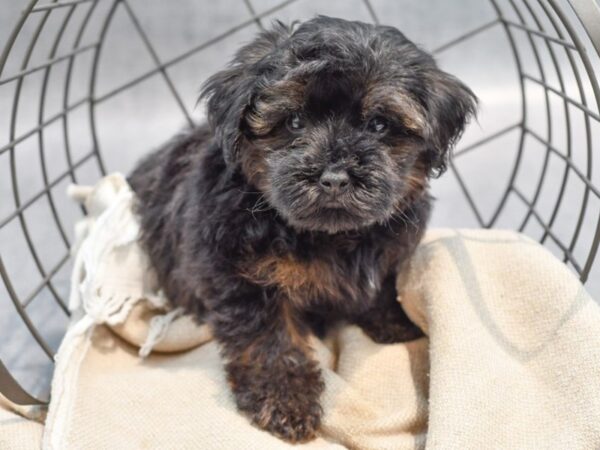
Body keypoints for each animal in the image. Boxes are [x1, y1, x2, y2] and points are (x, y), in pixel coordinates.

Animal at [129, 17, 476, 442]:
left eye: (379, 124)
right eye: (294, 122)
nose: (334, 178)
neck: (325, 235)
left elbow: (380, 287)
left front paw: (395, 322)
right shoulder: (240, 275)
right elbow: (269, 337)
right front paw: (284, 398)